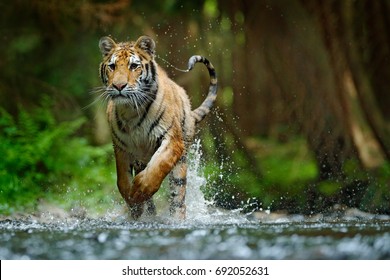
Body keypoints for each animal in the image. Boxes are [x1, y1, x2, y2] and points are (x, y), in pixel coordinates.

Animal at [97, 35, 218, 219]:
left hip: (181, 162)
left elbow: (157, 167)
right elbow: (122, 180)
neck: (131, 111)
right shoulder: (120, 146)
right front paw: (133, 203)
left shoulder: (172, 141)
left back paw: (176, 218)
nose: (118, 86)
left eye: (134, 66)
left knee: (178, 198)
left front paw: (139, 189)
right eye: (112, 66)